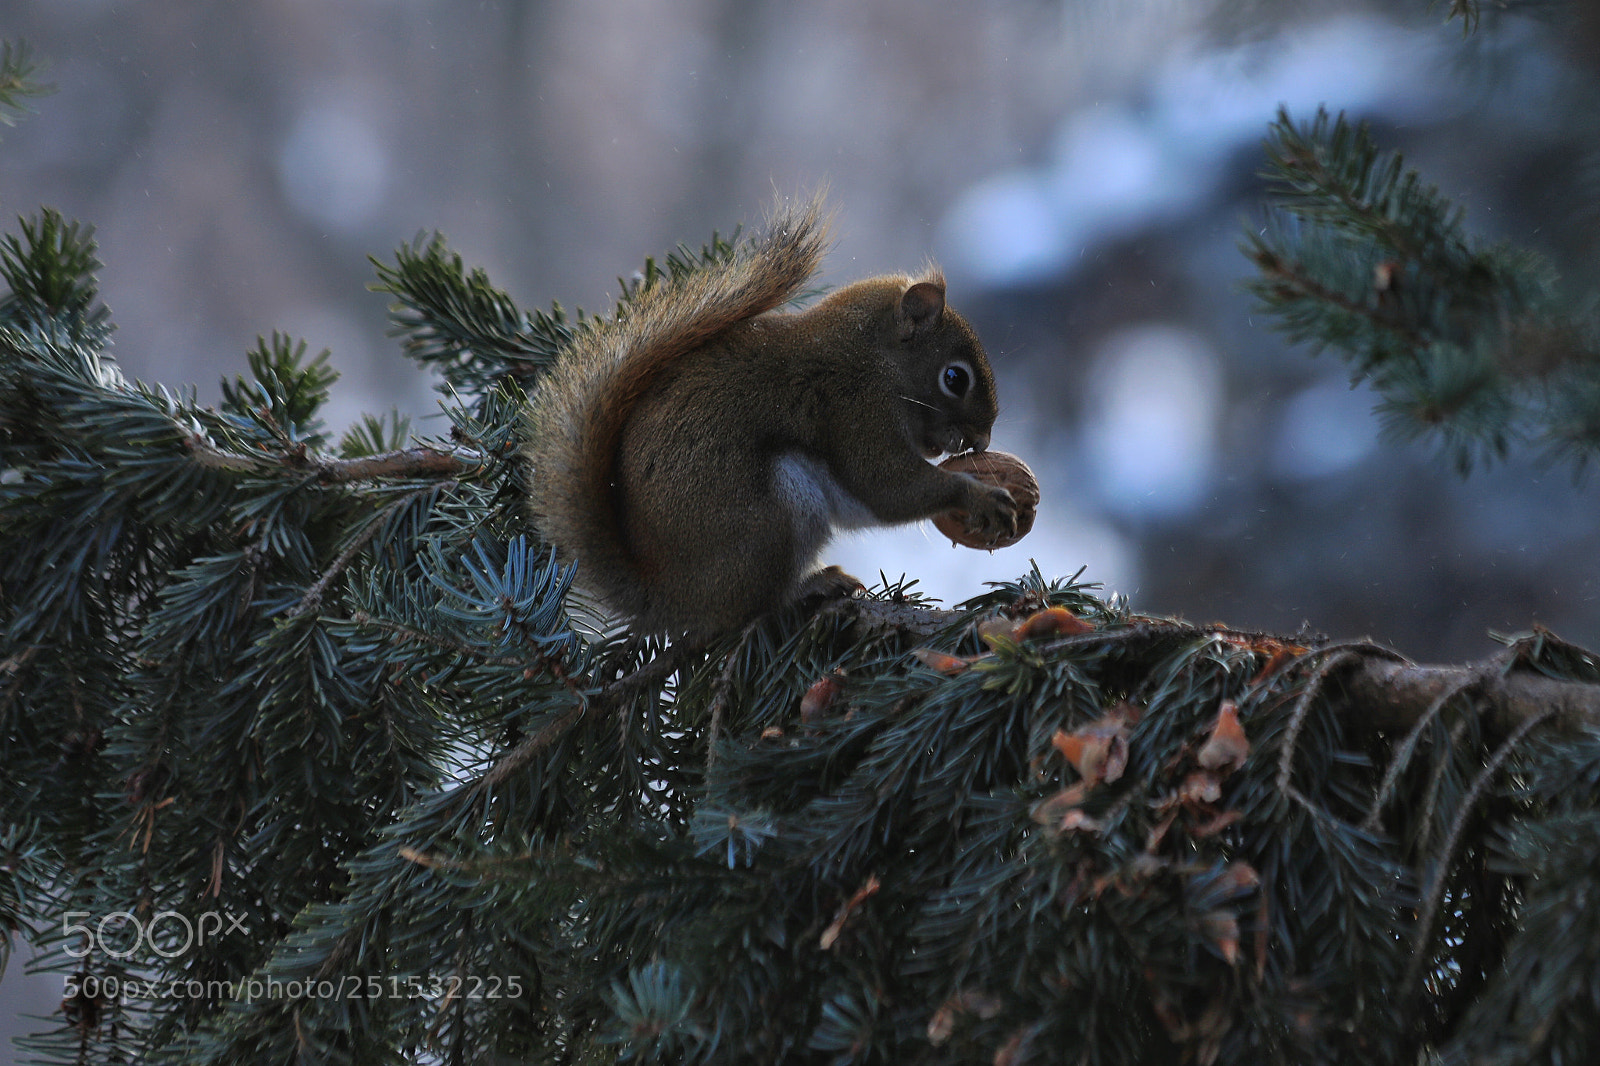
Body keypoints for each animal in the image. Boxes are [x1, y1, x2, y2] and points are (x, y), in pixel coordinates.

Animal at [523, 196, 1017, 637]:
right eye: (955, 378)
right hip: (771, 521)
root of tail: (667, 598)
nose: (983, 442)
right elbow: (888, 487)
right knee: (755, 608)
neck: (873, 358)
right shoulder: (857, 411)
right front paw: (979, 496)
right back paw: (813, 585)